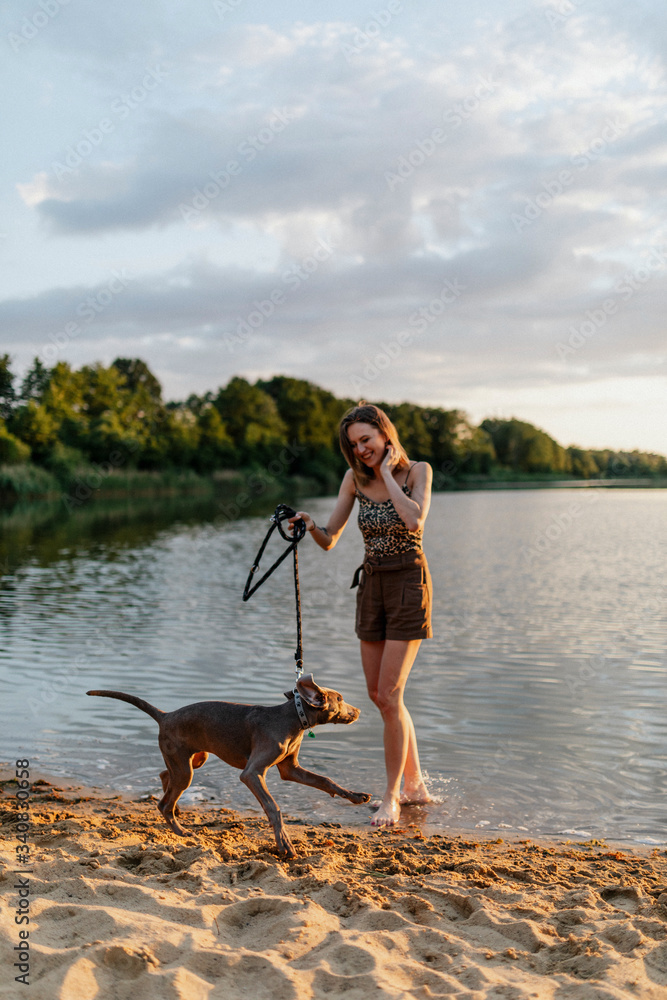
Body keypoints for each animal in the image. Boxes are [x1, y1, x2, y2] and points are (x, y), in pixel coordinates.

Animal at [85, 676, 370, 856]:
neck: (293, 718)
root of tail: (165, 715)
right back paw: (182, 832)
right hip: (186, 768)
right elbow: (273, 807)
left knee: (165, 775)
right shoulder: (252, 773)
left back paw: (175, 806)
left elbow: (325, 780)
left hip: (194, 759)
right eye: (340, 698)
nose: (358, 711)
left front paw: (356, 796)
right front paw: (285, 845)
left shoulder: (291, 770)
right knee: (164, 803)